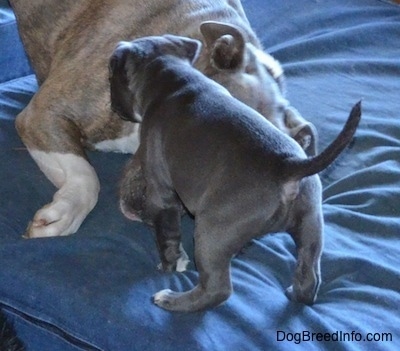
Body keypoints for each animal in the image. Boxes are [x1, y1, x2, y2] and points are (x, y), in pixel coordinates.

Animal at [110, 34, 362, 312]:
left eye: (110, 75)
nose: (113, 107)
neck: (174, 78)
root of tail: (288, 165)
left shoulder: (160, 194)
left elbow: (167, 237)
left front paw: (168, 266)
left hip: (211, 232)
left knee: (217, 289)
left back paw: (172, 300)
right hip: (311, 224)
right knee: (310, 277)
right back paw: (295, 293)